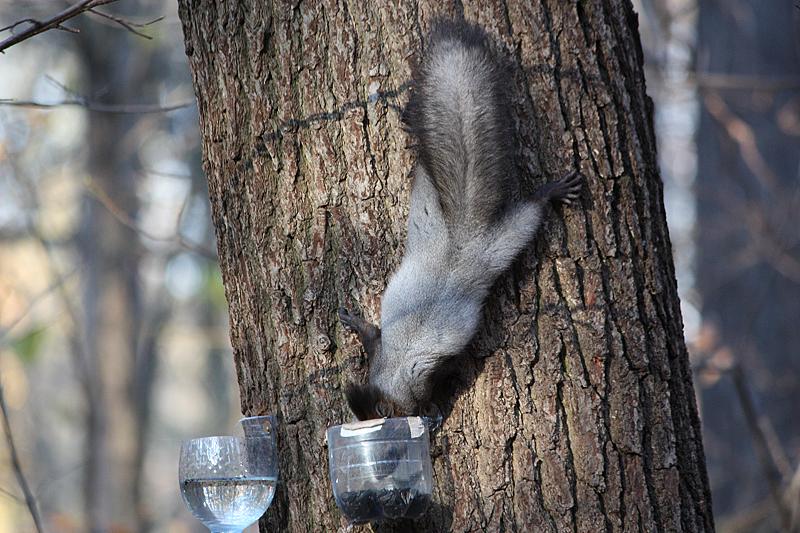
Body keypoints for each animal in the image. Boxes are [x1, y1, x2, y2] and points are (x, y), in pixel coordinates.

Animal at [340, 19, 580, 420]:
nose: (416, 416)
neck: (396, 367)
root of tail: (462, 234)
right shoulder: (384, 353)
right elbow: (372, 336)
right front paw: (354, 322)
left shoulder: (424, 372)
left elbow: (434, 374)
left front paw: (434, 408)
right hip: (428, 205)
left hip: (504, 240)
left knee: (531, 211)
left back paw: (551, 192)